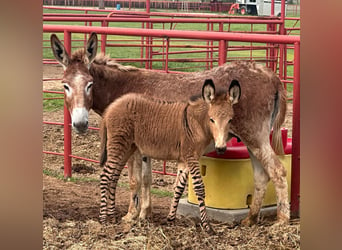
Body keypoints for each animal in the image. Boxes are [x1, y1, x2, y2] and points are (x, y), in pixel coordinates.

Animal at [99, 79, 240, 233]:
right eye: (212, 119)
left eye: (230, 120)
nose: (221, 148)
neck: (197, 123)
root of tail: (112, 106)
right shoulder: (192, 157)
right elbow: (199, 188)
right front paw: (207, 226)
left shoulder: (185, 159)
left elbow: (178, 187)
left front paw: (170, 219)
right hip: (119, 144)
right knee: (105, 175)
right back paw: (103, 219)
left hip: (127, 147)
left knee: (113, 177)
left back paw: (112, 216)